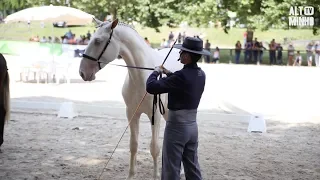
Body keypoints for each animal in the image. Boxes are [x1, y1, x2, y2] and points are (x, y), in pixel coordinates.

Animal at [79, 18, 184, 179]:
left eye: (97, 41)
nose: (82, 72)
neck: (143, 77)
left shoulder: (155, 115)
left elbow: (154, 147)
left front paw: (156, 175)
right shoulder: (132, 114)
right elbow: (133, 145)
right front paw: (131, 175)